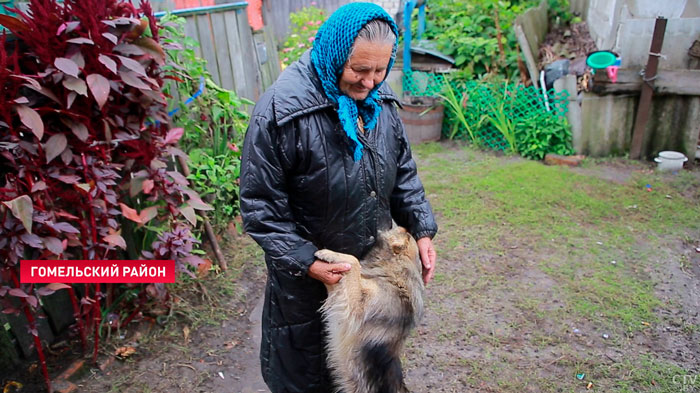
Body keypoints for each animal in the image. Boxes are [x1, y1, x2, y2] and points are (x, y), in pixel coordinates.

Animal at [314, 225, 424, 392]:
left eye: (406, 235)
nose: (404, 226)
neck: (394, 277)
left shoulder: (356, 308)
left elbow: (353, 262)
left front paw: (327, 253)